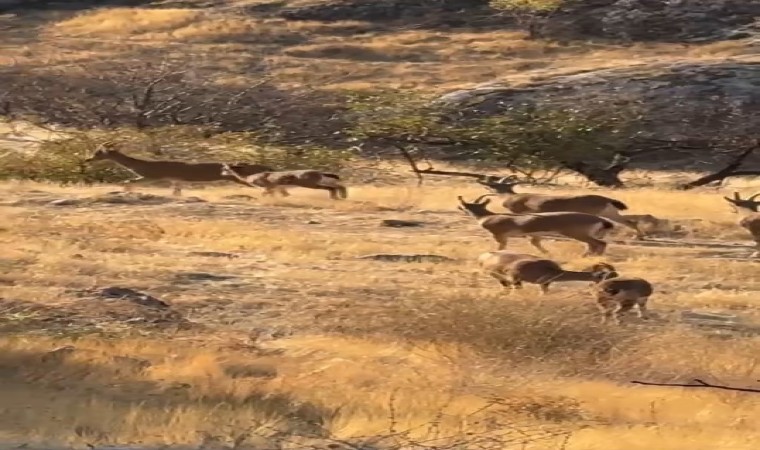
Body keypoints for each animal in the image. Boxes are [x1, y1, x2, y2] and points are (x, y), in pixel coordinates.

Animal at [84, 142, 274, 195]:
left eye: (99, 152)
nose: (88, 159)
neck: (140, 164)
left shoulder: (152, 177)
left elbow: (127, 180)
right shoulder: (175, 180)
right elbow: (177, 192)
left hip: (237, 179)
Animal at [220, 163, 348, 200]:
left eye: (225, 168)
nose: (221, 173)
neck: (247, 175)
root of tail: (319, 171)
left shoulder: (268, 186)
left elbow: (265, 193)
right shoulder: (274, 186)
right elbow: (276, 193)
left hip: (309, 183)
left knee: (332, 187)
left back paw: (336, 197)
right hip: (315, 182)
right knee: (338, 185)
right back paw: (341, 196)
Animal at [478, 177, 644, 239]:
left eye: (495, 186)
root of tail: (608, 199)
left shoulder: (520, 213)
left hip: (597, 213)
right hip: (611, 213)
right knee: (630, 222)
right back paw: (638, 236)